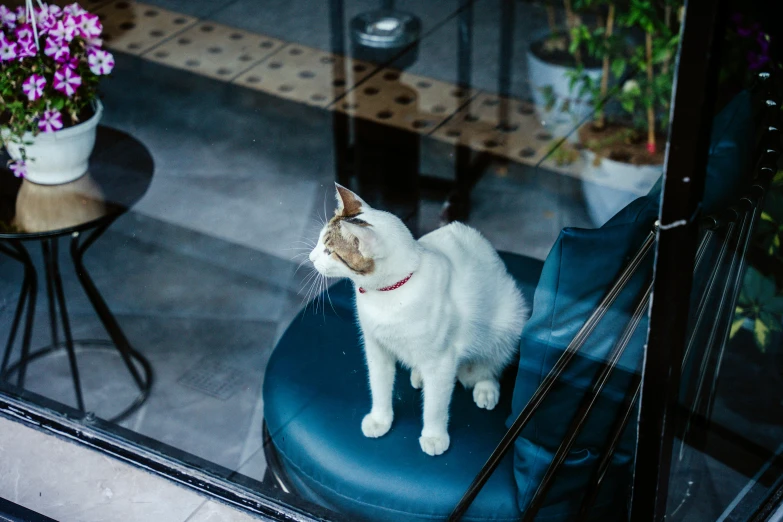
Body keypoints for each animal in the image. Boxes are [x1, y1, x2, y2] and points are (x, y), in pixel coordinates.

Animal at [310, 185, 528, 452]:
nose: (310, 257)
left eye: (330, 251)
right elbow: (379, 385)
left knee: (491, 363)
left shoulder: (441, 360)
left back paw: (486, 387)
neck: (389, 295)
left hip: (509, 320)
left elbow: (435, 405)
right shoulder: (376, 348)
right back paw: (418, 374)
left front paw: (434, 436)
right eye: (320, 242)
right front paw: (380, 419)